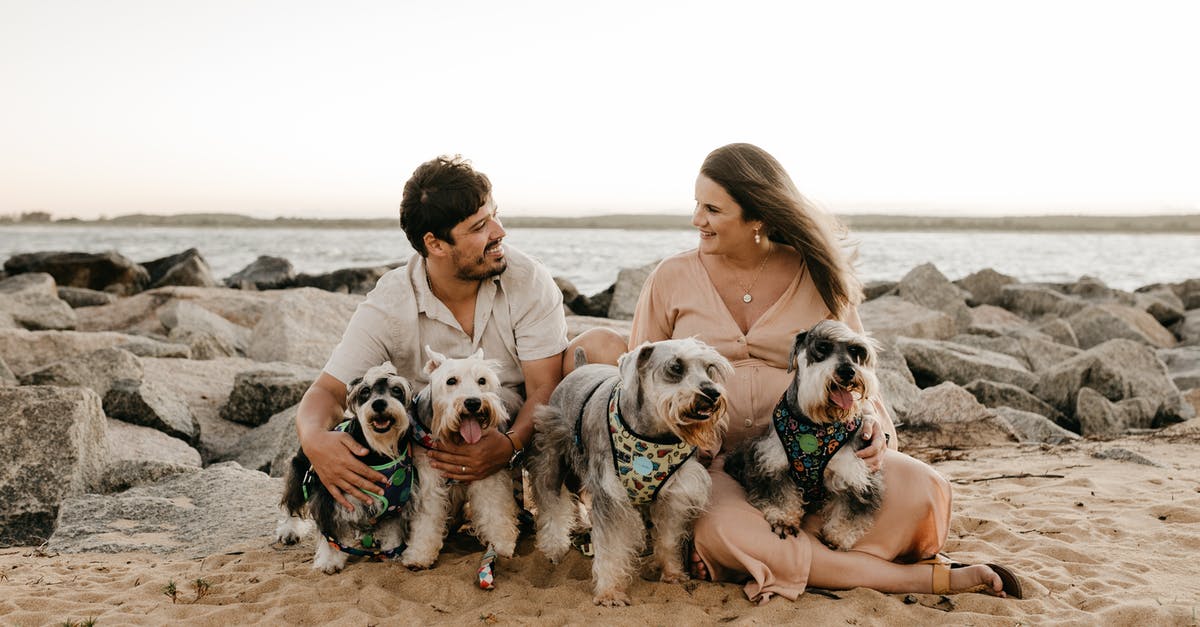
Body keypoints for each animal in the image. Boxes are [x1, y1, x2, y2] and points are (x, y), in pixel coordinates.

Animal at [274, 360, 415, 571]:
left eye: (397, 390)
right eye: (365, 391)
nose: (379, 403)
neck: (378, 452)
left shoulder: (395, 506)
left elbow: (393, 533)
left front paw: (392, 553)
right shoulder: (330, 500)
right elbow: (332, 535)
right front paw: (330, 561)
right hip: (300, 472)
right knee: (292, 504)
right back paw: (289, 530)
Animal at [400, 345, 523, 571]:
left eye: (482, 380)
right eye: (451, 381)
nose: (473, 402)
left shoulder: (487, 473)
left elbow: (494, 510)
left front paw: (502, 543)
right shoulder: (429, 483)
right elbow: (426, 519)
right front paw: (420, 554)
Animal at [532, 336, 734, 605]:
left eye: (709, 368)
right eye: (676, 367)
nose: (712, 392)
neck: (653, 435)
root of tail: (579, 367)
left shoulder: (675, 494)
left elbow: (669, 537)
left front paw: (672, 573)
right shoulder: (610, 495)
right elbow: (610, 547)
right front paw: (609, 592)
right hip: (553, 457)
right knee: (551, 502)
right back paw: (554, 547)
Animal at [720, 319, 883, 550]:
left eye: (855, 350)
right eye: (822, 347)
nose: (848, 371)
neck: (815, 425)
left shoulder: (854, 475)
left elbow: (850, 509)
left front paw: (839, 535)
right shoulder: (772, 463)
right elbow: (781, 496)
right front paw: (783, 520)